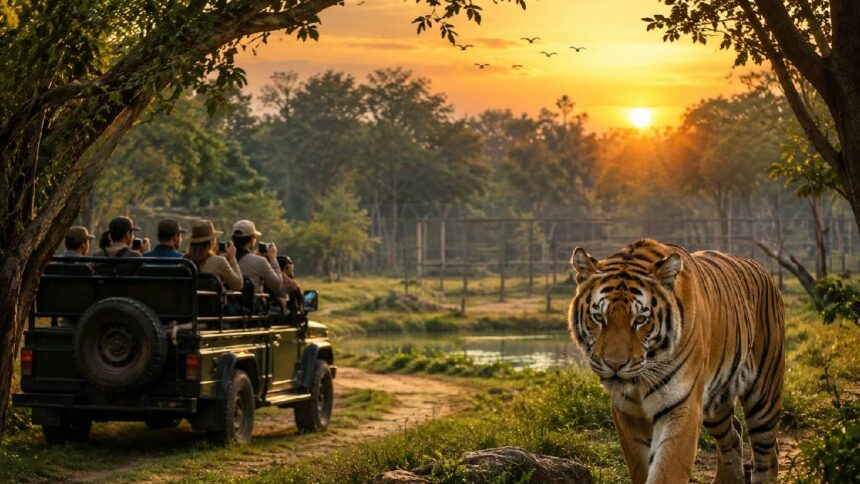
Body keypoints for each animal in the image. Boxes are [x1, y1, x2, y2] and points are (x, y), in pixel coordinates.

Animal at [567, 239, 784, 484]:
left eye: (640, 319)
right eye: (598, 317)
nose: (615, 365)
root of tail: (762, 268)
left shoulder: (682, 405)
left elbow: (667, 469)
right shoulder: (627, 411)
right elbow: (640, 465)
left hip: (764, 396)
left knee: (768, 453)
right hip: (715, 403)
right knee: (733, 435)